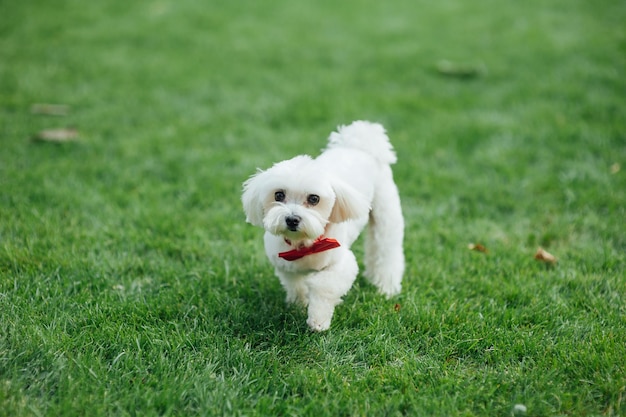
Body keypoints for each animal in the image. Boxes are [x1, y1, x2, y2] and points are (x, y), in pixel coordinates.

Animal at [241, 121, 402, 332]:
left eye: (314, 199)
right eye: (279, 195)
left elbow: (323, 288)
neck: (304, 244)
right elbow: (296, 286)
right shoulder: (285, 266)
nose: (292, 219)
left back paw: (386, 288)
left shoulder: (341, 264)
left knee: (387, 252)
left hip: (386, 214)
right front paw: (298, 306)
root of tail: (358, 144)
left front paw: (318, 321)